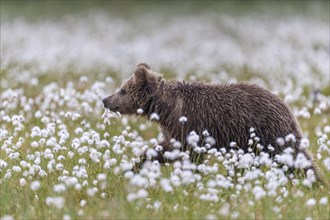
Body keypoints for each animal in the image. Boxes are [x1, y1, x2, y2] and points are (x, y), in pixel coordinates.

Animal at [102, 62, 320, 181]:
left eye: (123, 90)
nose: (105, 100)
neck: (165, 108)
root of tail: (285, 104)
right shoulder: (174, 130)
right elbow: (164, 149)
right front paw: (132, 166)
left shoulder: (189, 124)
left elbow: (190, 154)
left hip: (269, 131)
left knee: (295, 156)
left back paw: (315, 182)